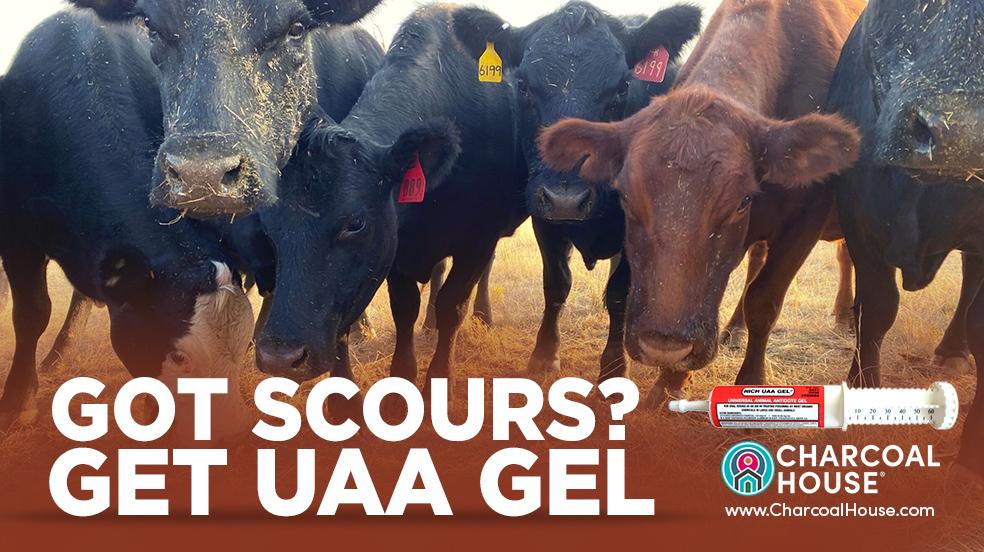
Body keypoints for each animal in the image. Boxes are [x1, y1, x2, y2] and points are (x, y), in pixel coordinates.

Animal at [0, 9, 257, 435]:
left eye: (239, 352)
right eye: (179, 357)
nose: (231, 435)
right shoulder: (18, 235)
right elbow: (32, 313)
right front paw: (18, 401)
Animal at [255, 5, 527, 412]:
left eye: (355, 224)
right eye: (270, 227)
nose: (279, 358)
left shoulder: (478, 239)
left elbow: (453, 305)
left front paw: (438, 380)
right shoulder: (397, 247)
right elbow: (404, 308)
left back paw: (484, 316)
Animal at [452, 1, 703, 382]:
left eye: (622, 86)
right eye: (522, 85)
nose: (567, 199)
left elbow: (619, 293)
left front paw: (613, 369)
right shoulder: (545, 217)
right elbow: (556, 283)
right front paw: (544, 355)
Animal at [538, 0, 865, 405]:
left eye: (742, 200)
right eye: (626, 197)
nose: (664, 345)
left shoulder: (807, 218)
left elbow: (765, 301)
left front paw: (750, 381)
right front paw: (669, 381)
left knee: (844, 256)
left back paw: (844, 315)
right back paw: (734, 328)